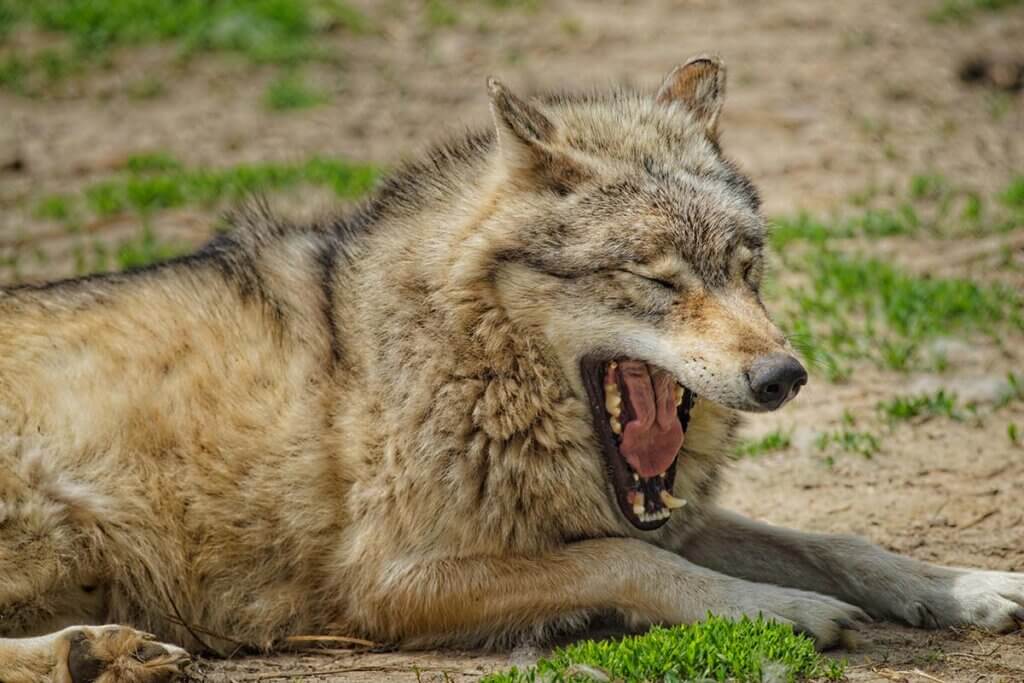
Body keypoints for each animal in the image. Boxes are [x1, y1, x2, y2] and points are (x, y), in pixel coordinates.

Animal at [1, 56, 1022, 682]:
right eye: (659, 280)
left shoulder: (668, 517)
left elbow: (836, 541)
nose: (782, 376)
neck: (467, 367)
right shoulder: (390, 581)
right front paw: (778, 610)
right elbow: (627, 559)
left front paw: (965, 586)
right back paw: (88, 650)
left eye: (744, 268)